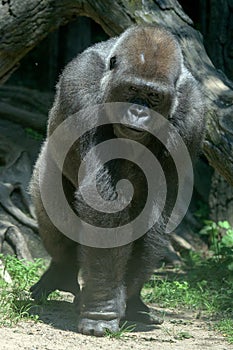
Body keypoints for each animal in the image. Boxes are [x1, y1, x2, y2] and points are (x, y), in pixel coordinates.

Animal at [30, 25, 205, 336]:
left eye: (153, 96)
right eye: (132, 90)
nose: (138, 112)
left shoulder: (192, 114)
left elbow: (154, 210)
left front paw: (117, 301)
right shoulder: (81, 85)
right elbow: (103, 201)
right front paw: (103, 308)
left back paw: (135, 304)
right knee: (52, 208)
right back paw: (61, 272)